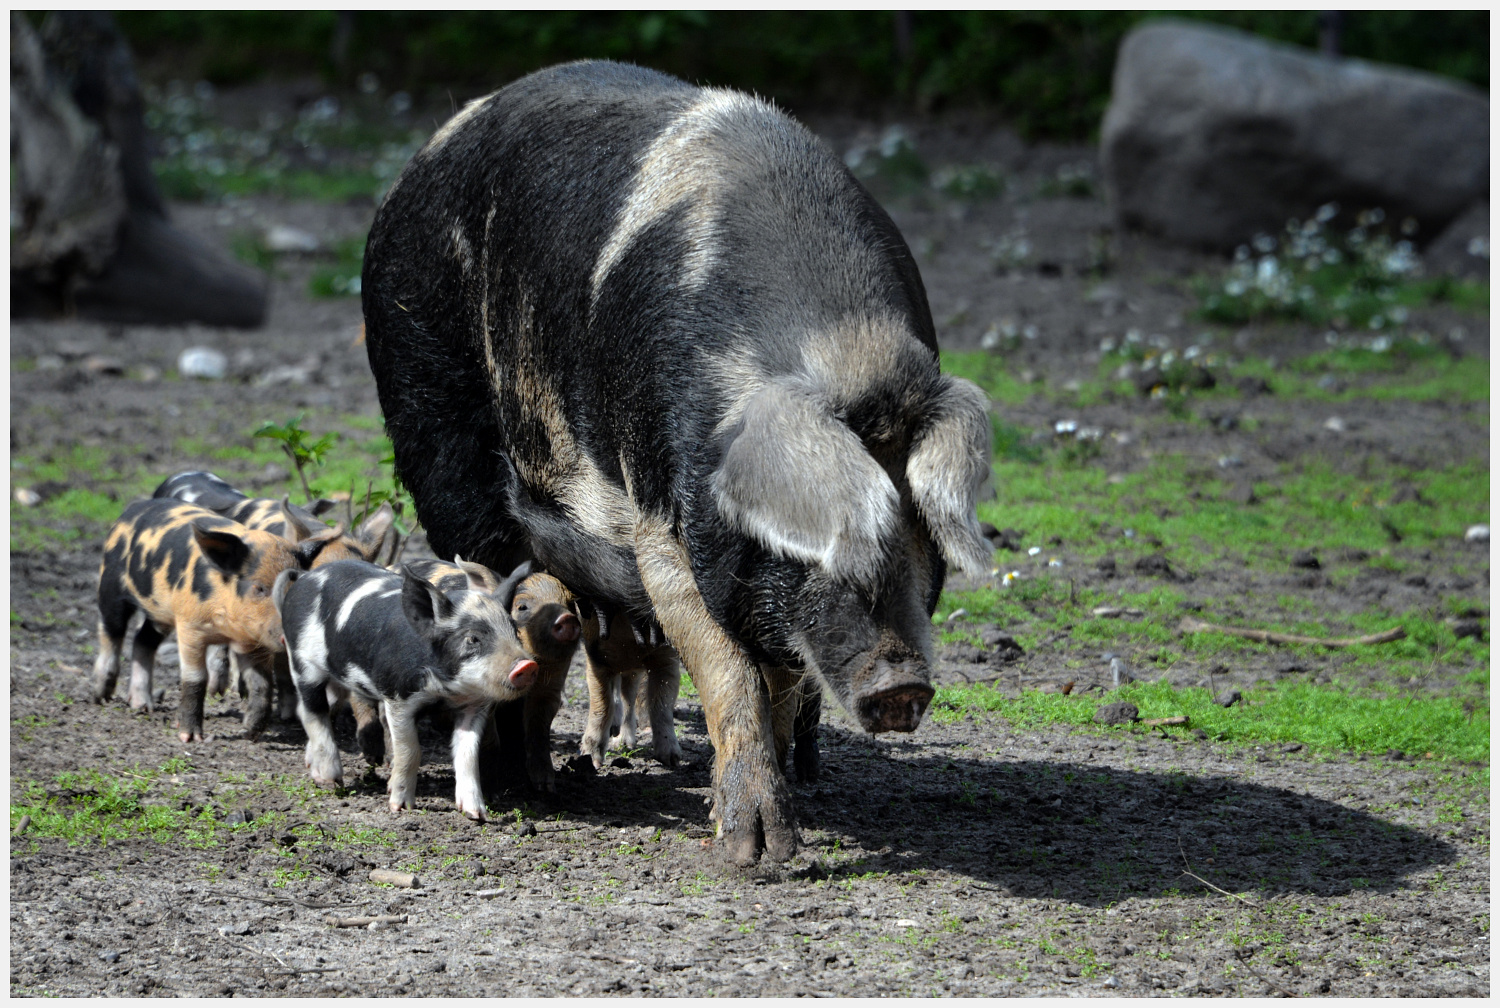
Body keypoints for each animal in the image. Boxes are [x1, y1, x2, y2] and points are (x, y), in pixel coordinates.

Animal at [363, 61, 996, 864]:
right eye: (824, 536)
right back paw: (520, 785)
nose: (902, 685)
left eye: (920, 530)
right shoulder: (658, 510)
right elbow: (727, 671)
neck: (840, 349)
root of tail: (419, 159)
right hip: (427, 402)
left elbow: (777, 677)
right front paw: (756, 854)